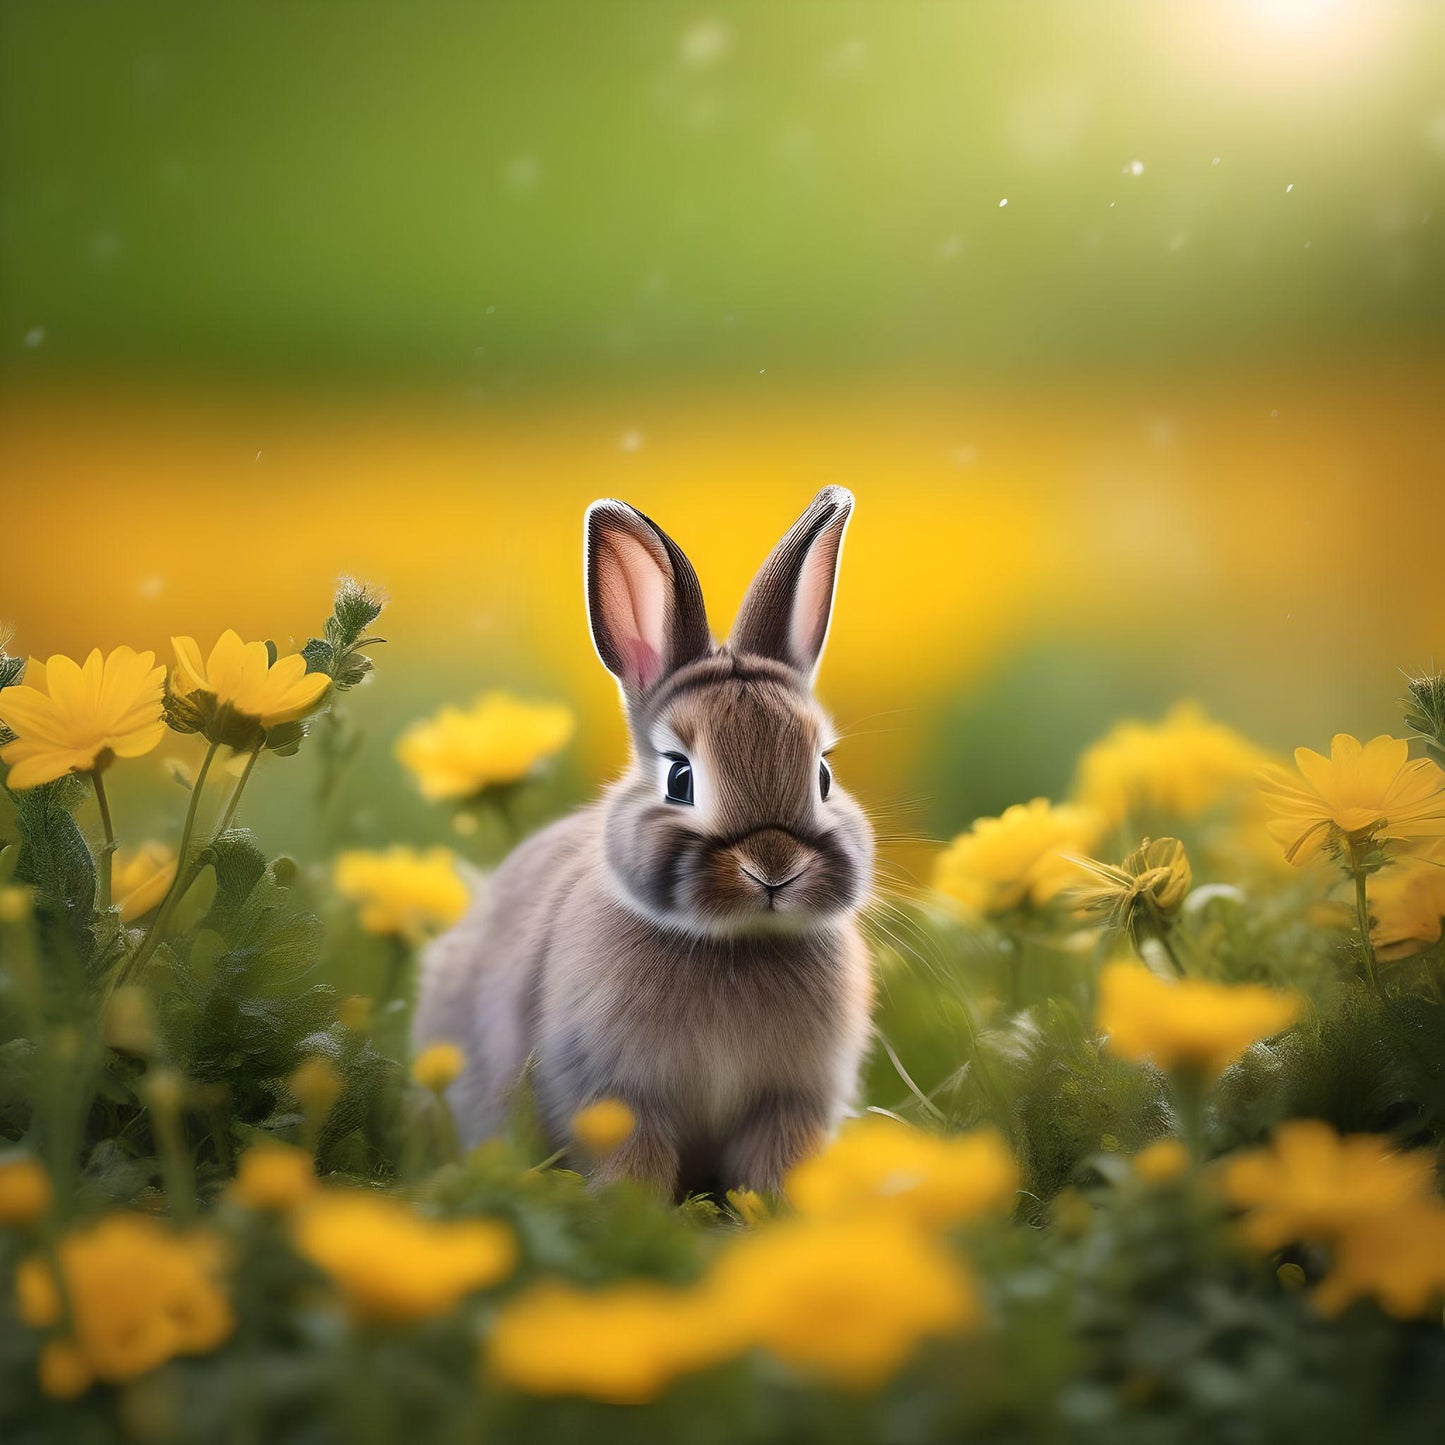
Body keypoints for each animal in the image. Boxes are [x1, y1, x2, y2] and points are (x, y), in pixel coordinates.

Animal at [413, 487, 875, 1198]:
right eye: (680, 778)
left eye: (823, 775)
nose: (774, 868)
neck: (734, 945)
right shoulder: (617, 1097)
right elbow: (638, 1165)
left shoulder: (789, 1103)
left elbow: (779, 1164)